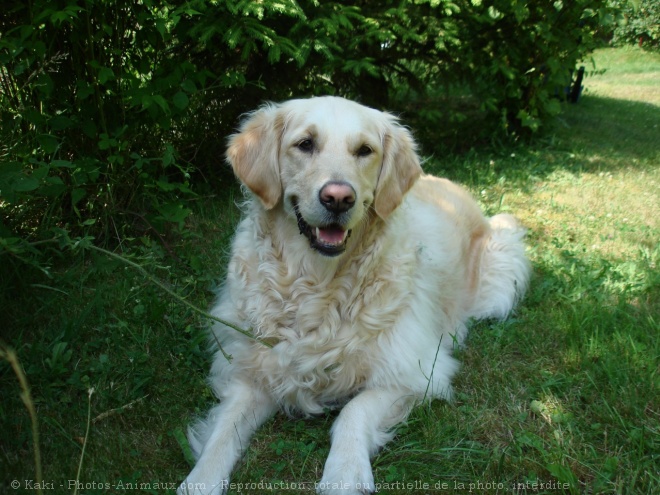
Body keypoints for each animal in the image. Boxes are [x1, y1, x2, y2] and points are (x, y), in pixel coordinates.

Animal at [177, 95, 532, 494]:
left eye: (364, 150)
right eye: (305, 144)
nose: (338, 198)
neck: (317, 284)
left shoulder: (415, 372)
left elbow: (352, 411)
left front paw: (344, 473)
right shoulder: (250, 371)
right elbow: (224, 431)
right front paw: (199, 480)